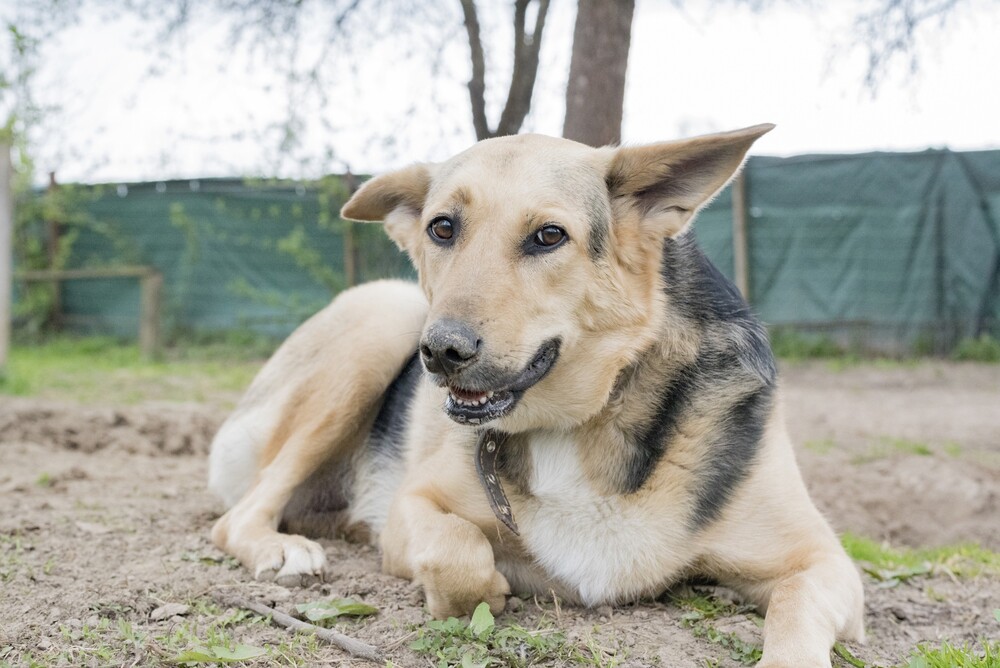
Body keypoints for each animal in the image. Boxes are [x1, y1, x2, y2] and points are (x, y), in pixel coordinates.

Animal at [207, 126, 864, 668]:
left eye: (549, 236)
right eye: (442, 227)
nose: (441, 351)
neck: (582, 419)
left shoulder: (825, 563)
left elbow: (795, 613)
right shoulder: (410, 505)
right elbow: (460, 554)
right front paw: (491, 586)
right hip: (381, 323)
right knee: (239, 515)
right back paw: (281, 548)